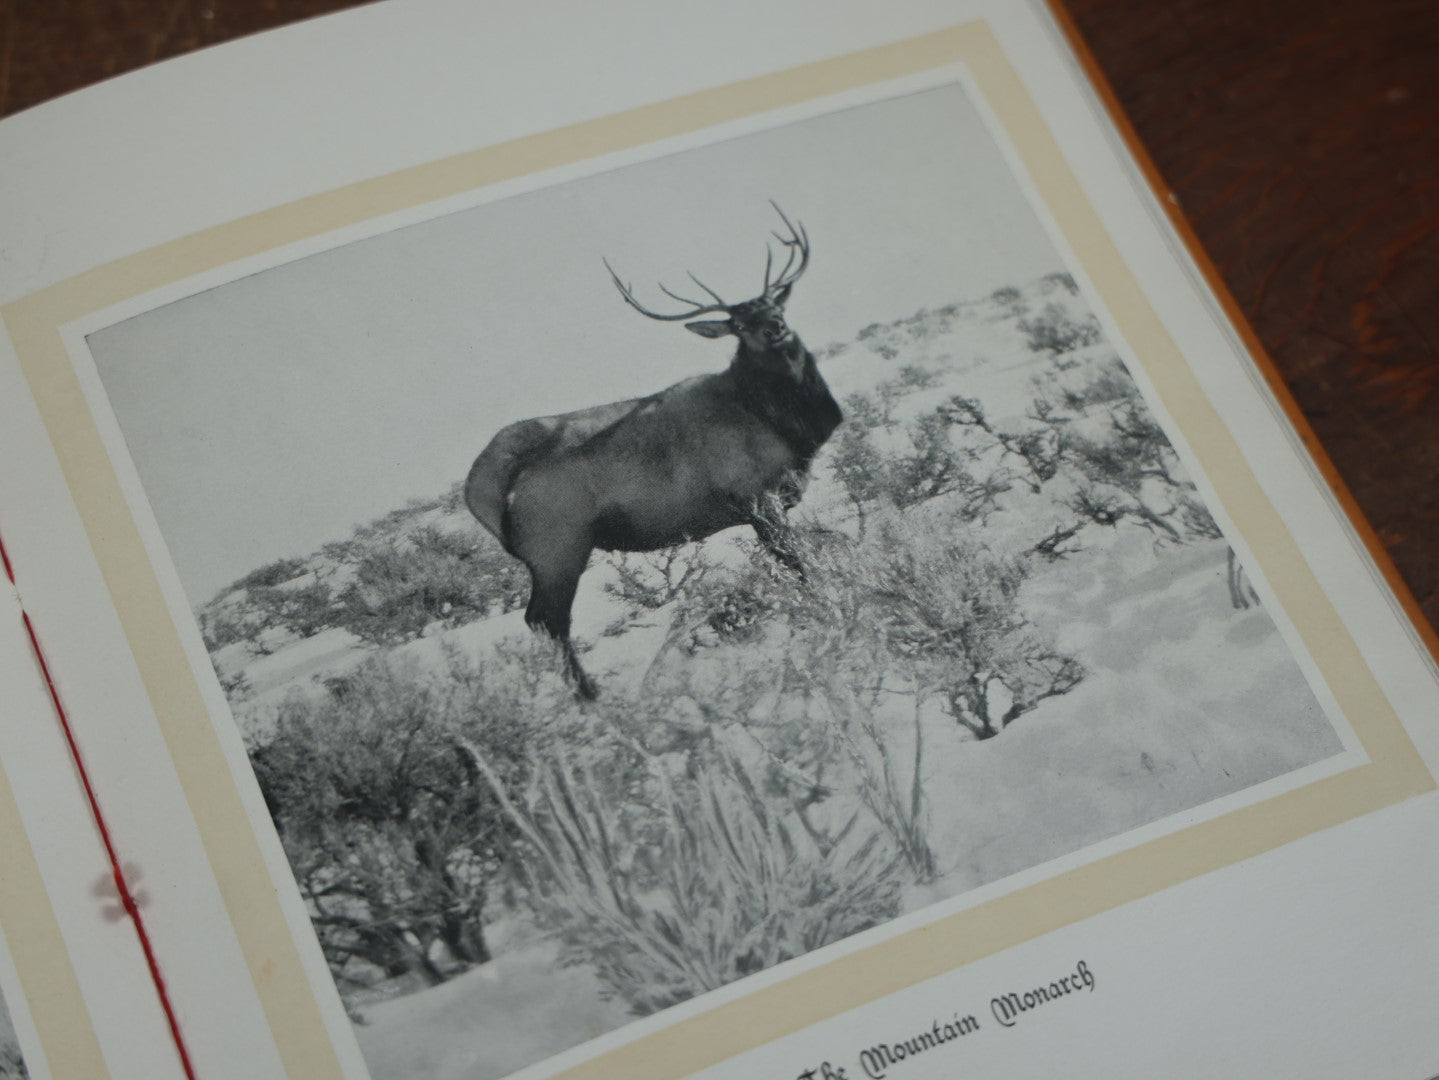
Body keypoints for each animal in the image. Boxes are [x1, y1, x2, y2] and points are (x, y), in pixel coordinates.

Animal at [460, 205, 840, 696]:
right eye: (738, 325)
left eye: (776, 306)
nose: (776, 328)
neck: (783, 420)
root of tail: (481, 490)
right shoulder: (758, 499)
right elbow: (799, 567)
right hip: (557, 551)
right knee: (545, 620)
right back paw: (592, 697)